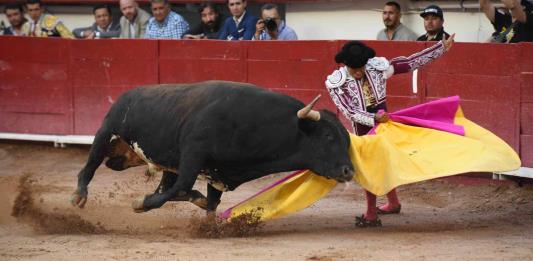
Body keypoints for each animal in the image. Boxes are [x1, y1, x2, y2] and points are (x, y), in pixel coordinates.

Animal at [70, 80, 354, 212]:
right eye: (328, 136)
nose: (349, 171)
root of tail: (128, 94)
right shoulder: (193, 155)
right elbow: (182, 188)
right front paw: (141, 203)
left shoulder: (219, 174)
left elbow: (209, 203)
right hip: (107, 131)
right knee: (88, 167)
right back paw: (79, 196)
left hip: (156, 160)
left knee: (164, 183)